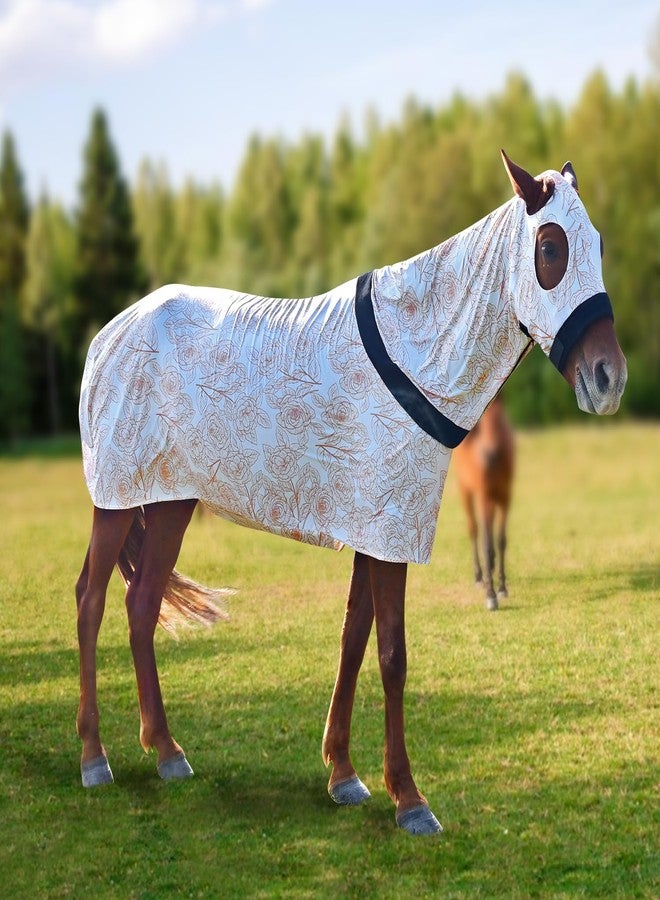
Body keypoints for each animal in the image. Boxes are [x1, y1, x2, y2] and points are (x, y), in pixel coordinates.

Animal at [452, 395, 515, 610]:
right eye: (481, 424)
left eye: (500, 421)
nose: (489, 455)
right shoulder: (483, 497)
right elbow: (486, 543)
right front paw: (491, 594)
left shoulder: (505, 497)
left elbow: (501, 540)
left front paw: (502, 587)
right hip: (466, 492)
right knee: (474, 530)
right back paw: (480, 577)